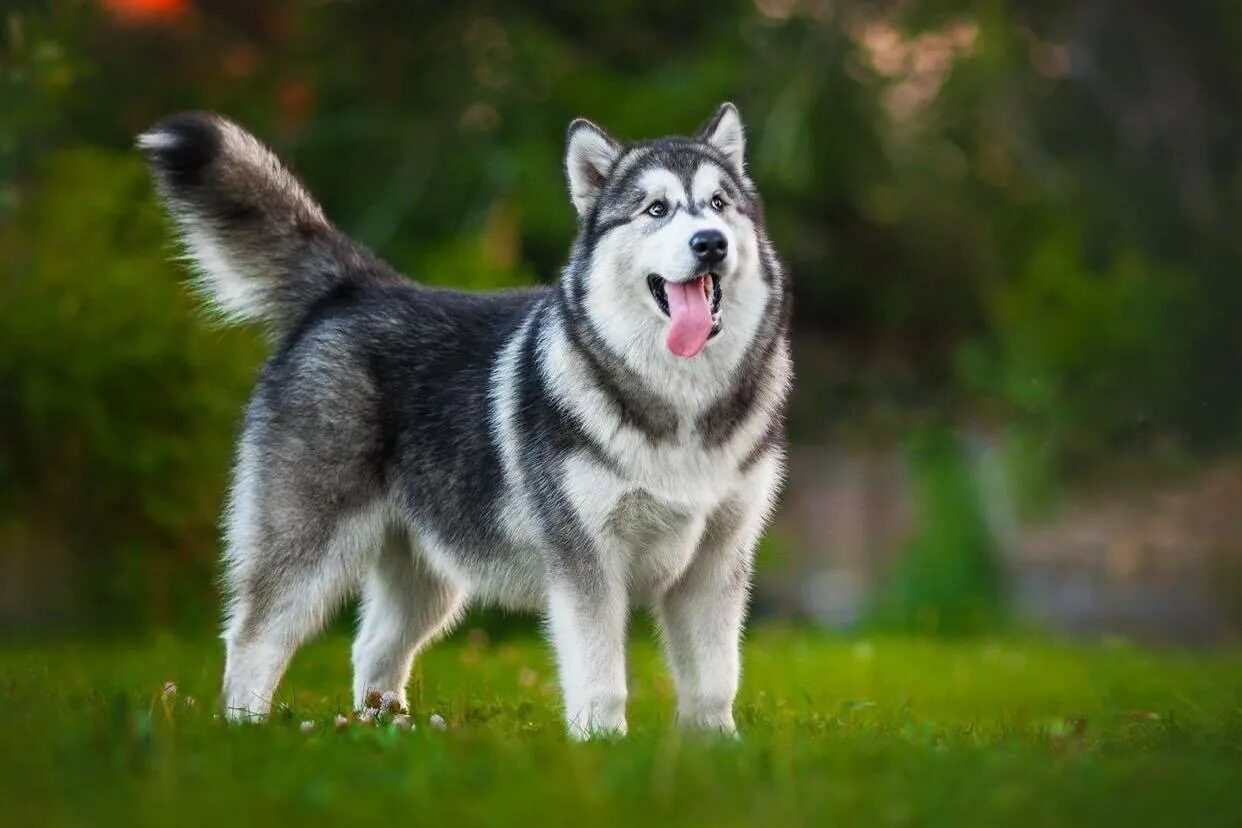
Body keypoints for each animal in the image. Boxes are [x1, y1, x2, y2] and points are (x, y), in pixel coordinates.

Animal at [138, 103, 794, 739]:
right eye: (656, 208)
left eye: (719, 204)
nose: (710, 243)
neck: (680, 403)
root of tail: (357, 287)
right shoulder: (587, 565)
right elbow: (602, 679)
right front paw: (604, 749)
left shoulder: (716, 563)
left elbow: (715, 680)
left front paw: (717, 750)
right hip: (307, 544)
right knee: (253, 638)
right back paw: (245, 730)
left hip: (429, 574)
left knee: (372, 648)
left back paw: (386, 728)